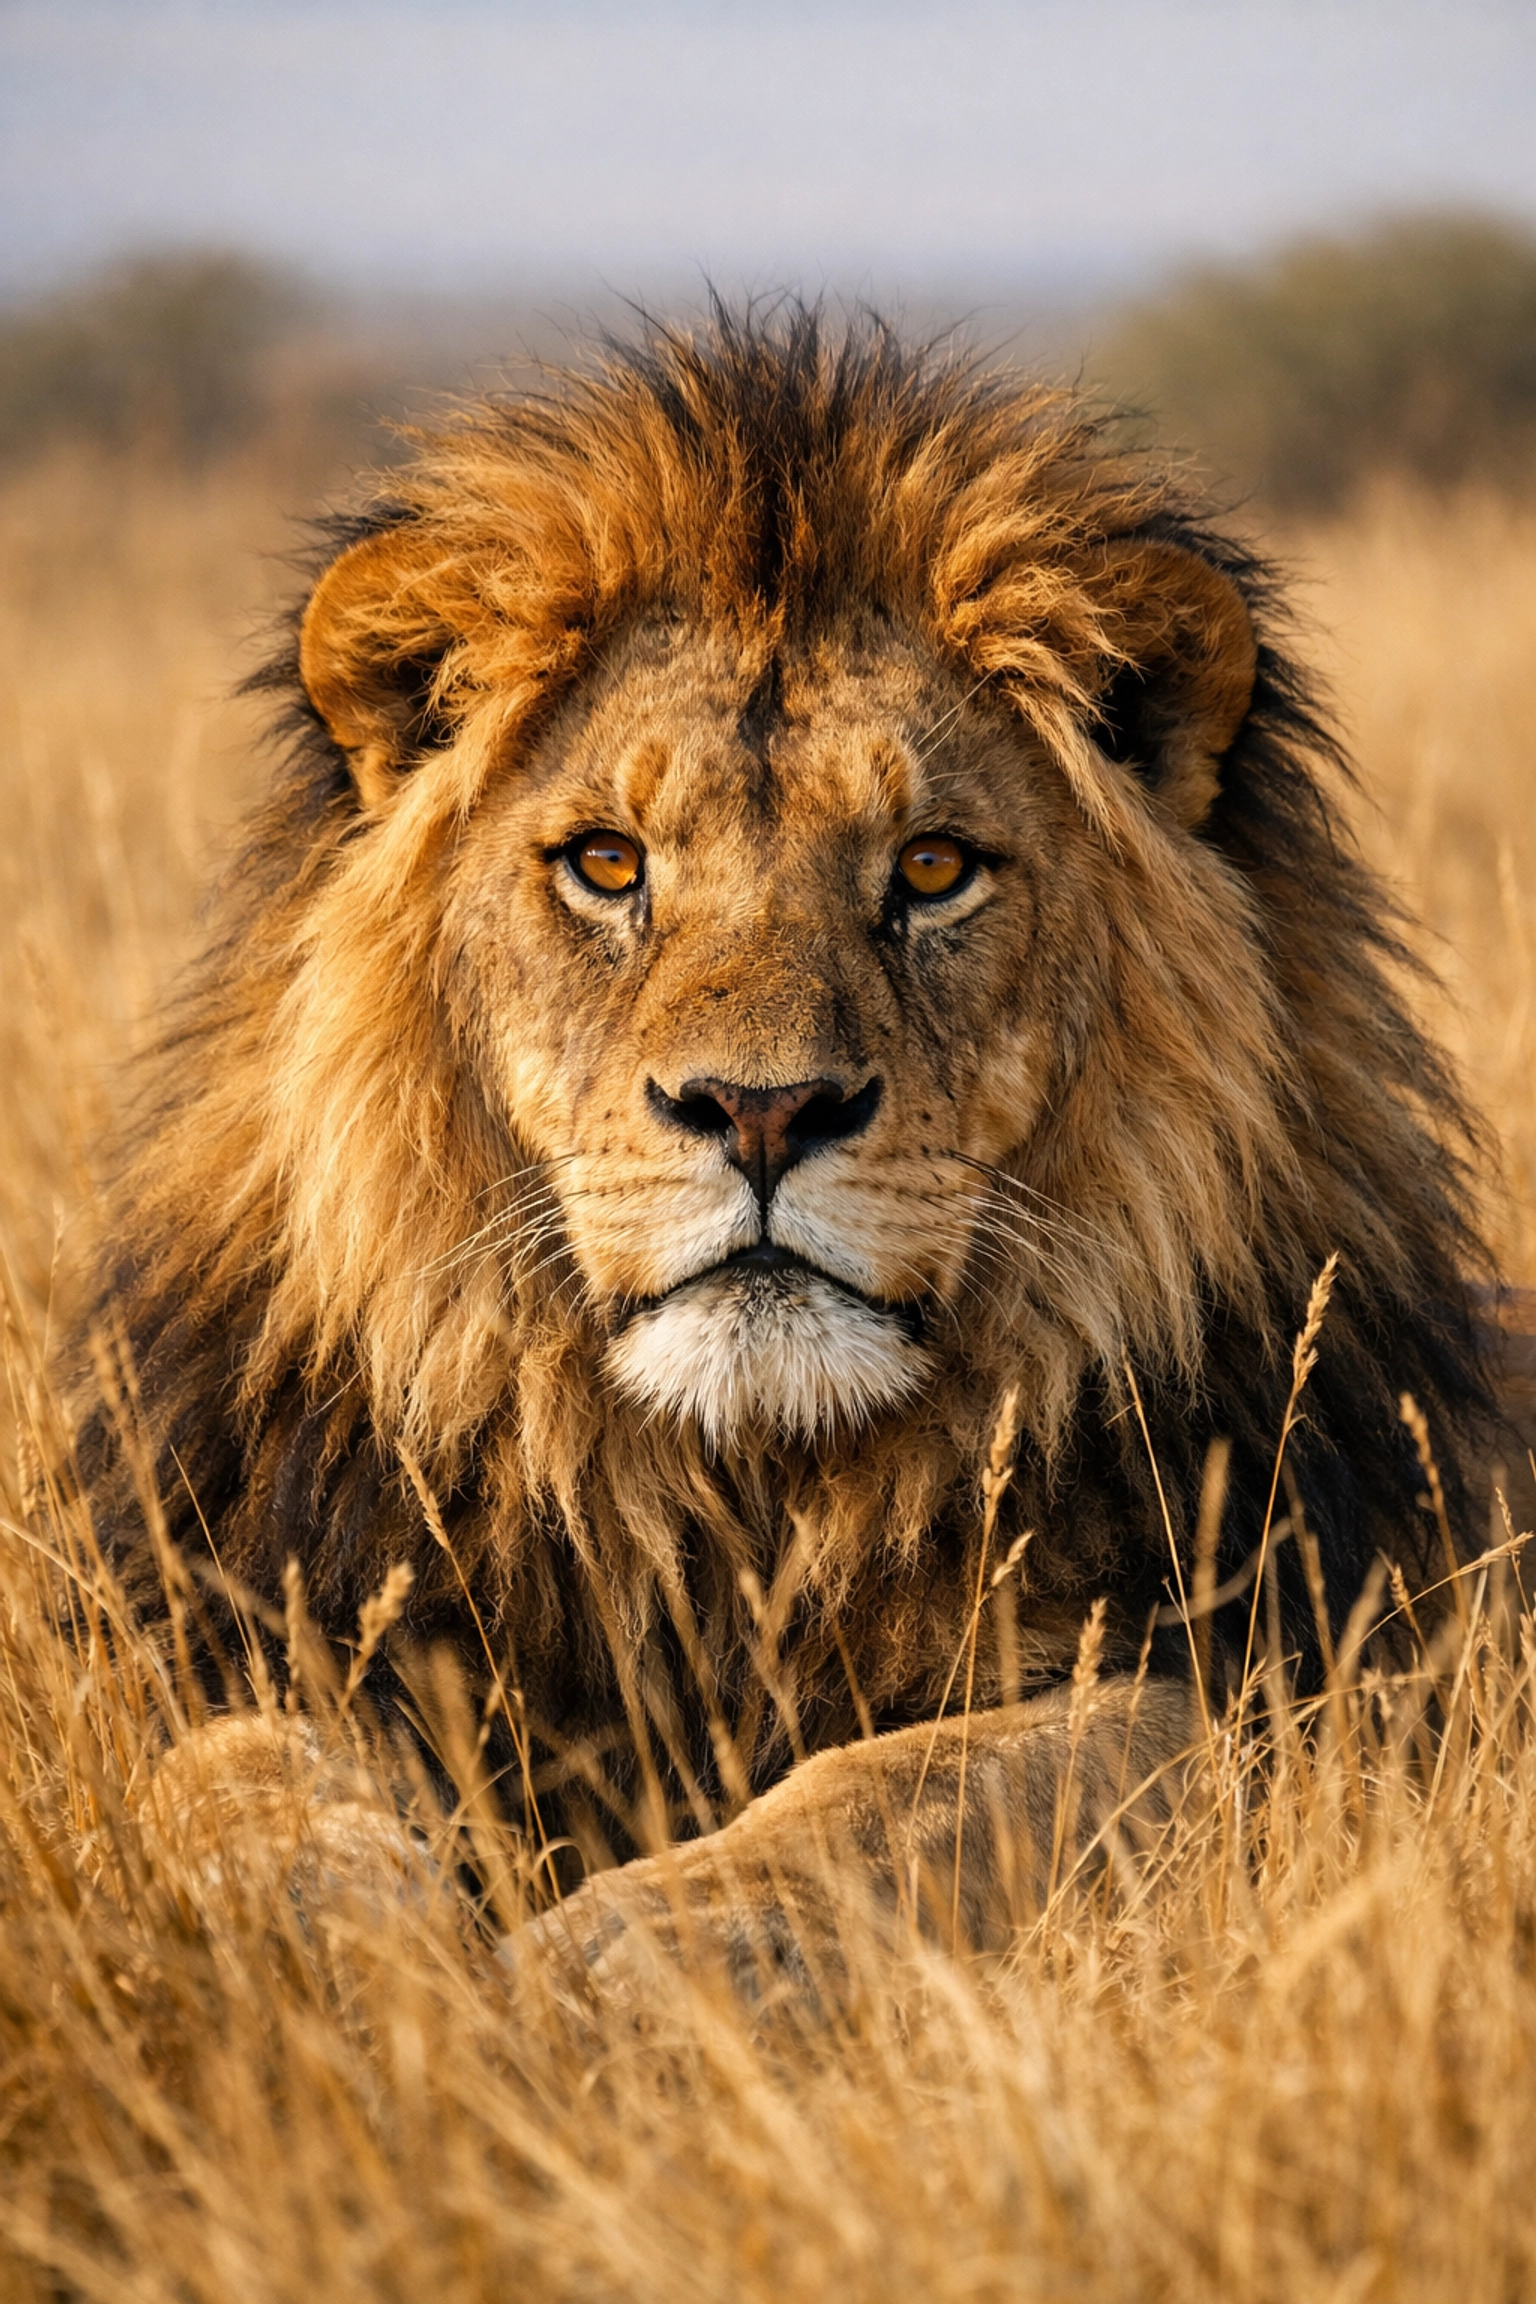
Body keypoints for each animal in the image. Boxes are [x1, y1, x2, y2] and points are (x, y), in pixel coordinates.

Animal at [77, 304, 1498, 1986]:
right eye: (606, 864)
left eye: (934, 869)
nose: (761, 1111)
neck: (740, 1499)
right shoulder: (257, 1625)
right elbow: (241, 1778)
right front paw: (364, 1969)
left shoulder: (1297, 1686)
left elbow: (936, 1781)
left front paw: (627, 1957)